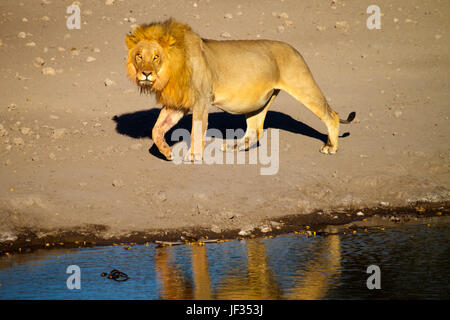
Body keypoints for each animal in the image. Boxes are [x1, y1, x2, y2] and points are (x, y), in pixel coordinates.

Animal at [125, 18, 354, 161]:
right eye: (139, 56)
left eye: (156, 57)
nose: (146, 74)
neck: (171, 71)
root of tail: (294, 50)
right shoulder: (178, 104)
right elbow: (157, 129)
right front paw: (166, 152)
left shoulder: (202, 99)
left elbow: (196, 129)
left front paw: (193, 156)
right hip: (258, 103)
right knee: (254, 133)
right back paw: (229, 146)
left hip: (302, 85)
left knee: (331, 115)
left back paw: (331, 147)